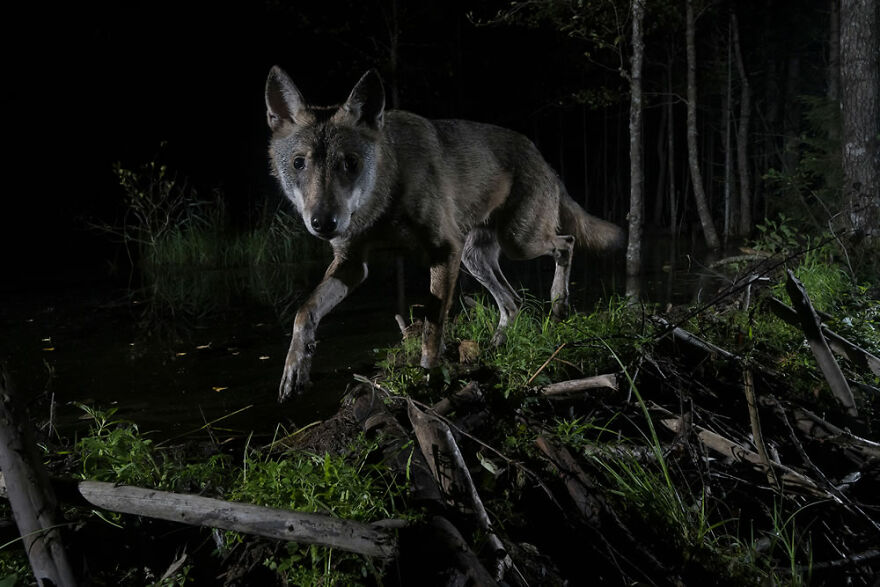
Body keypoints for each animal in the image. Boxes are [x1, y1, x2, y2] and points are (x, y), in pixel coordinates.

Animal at [266, 67, 624, 402]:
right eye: (299, 163)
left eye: (350, 163)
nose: (323, 222)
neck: (384, 202)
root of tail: (544, 160)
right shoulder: (352, 264)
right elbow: (304, 313)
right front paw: (294, 369)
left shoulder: (444, 250)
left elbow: (432, 325)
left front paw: (429, 377)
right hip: (475, 257)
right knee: (513, 302)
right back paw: (496, 346)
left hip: (518, 242)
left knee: (566, 244)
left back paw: (559, 302)